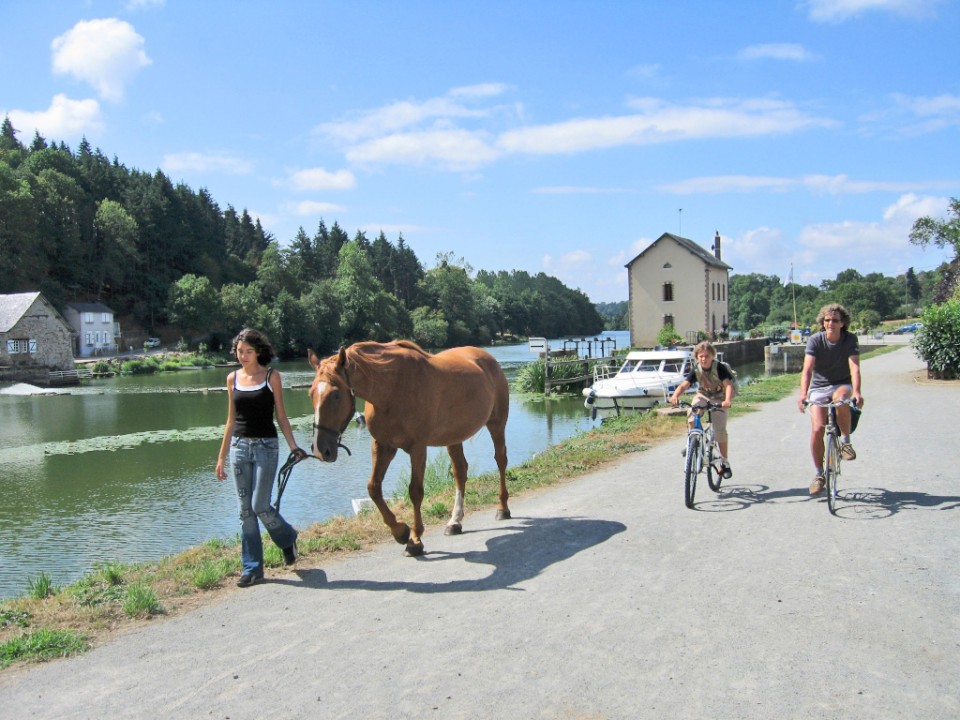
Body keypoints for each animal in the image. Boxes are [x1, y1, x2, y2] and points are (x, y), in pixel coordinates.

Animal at [312, 338, 512, 556]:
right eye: (311, 393)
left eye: (336, 395)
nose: (321, 450)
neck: (392, 389)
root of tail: (488, 359)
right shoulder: (383, 446)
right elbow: (373, 488)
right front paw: (400, 531)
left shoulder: (417, 448)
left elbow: (415, 492)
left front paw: (415, 540)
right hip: (453, 437)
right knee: (460, 472)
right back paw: (454, 522)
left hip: (497, 424)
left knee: (501, 461)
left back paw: (502, 509)